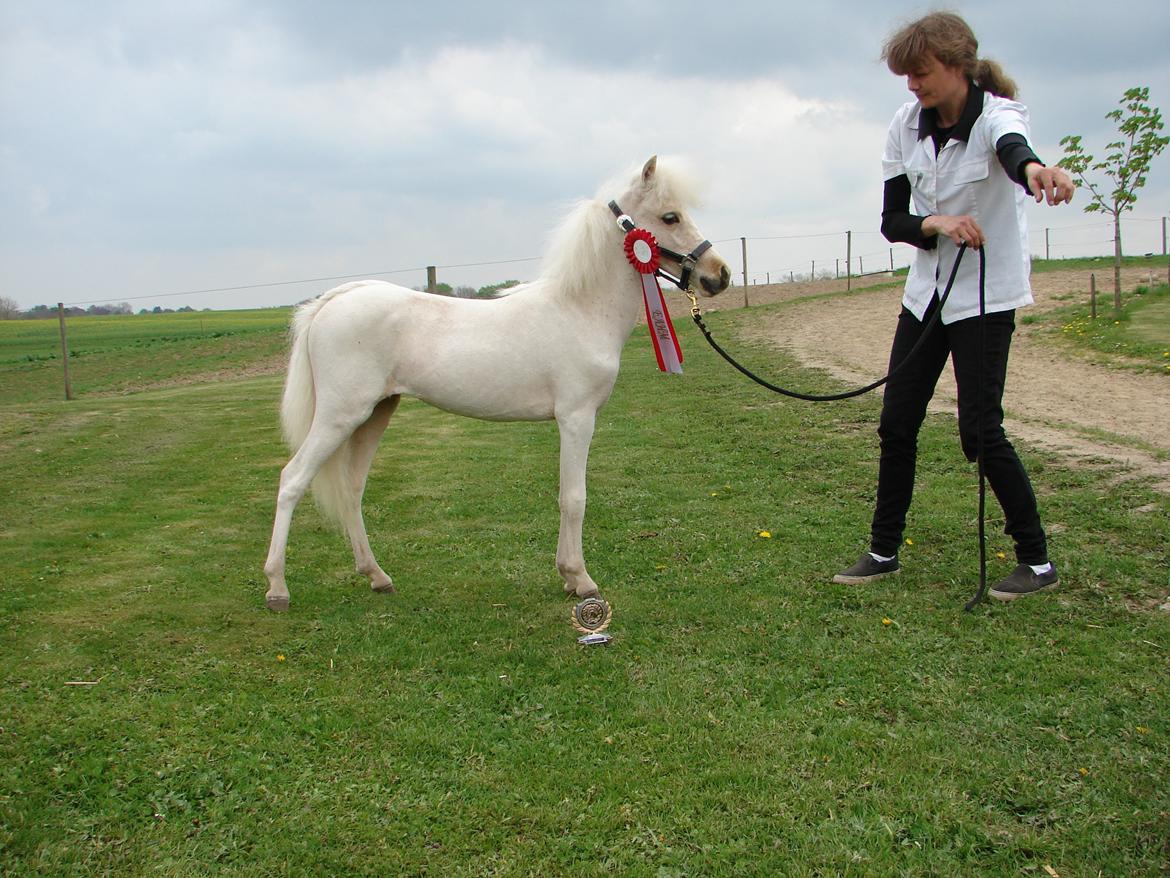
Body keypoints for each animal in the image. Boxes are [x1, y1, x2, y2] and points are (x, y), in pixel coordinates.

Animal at [260, 158, 725, 613]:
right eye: (670, 216)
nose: (719, 275)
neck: (580, 309)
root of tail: (334, 300)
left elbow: (564, 494)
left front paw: (567, 576)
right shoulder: (576, 418)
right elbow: (574, 497)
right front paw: (581, 580)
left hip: (375, 413)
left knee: (352, 488)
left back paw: (377, 577)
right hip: (340, 416)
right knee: (292, 479)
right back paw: (278, 588)